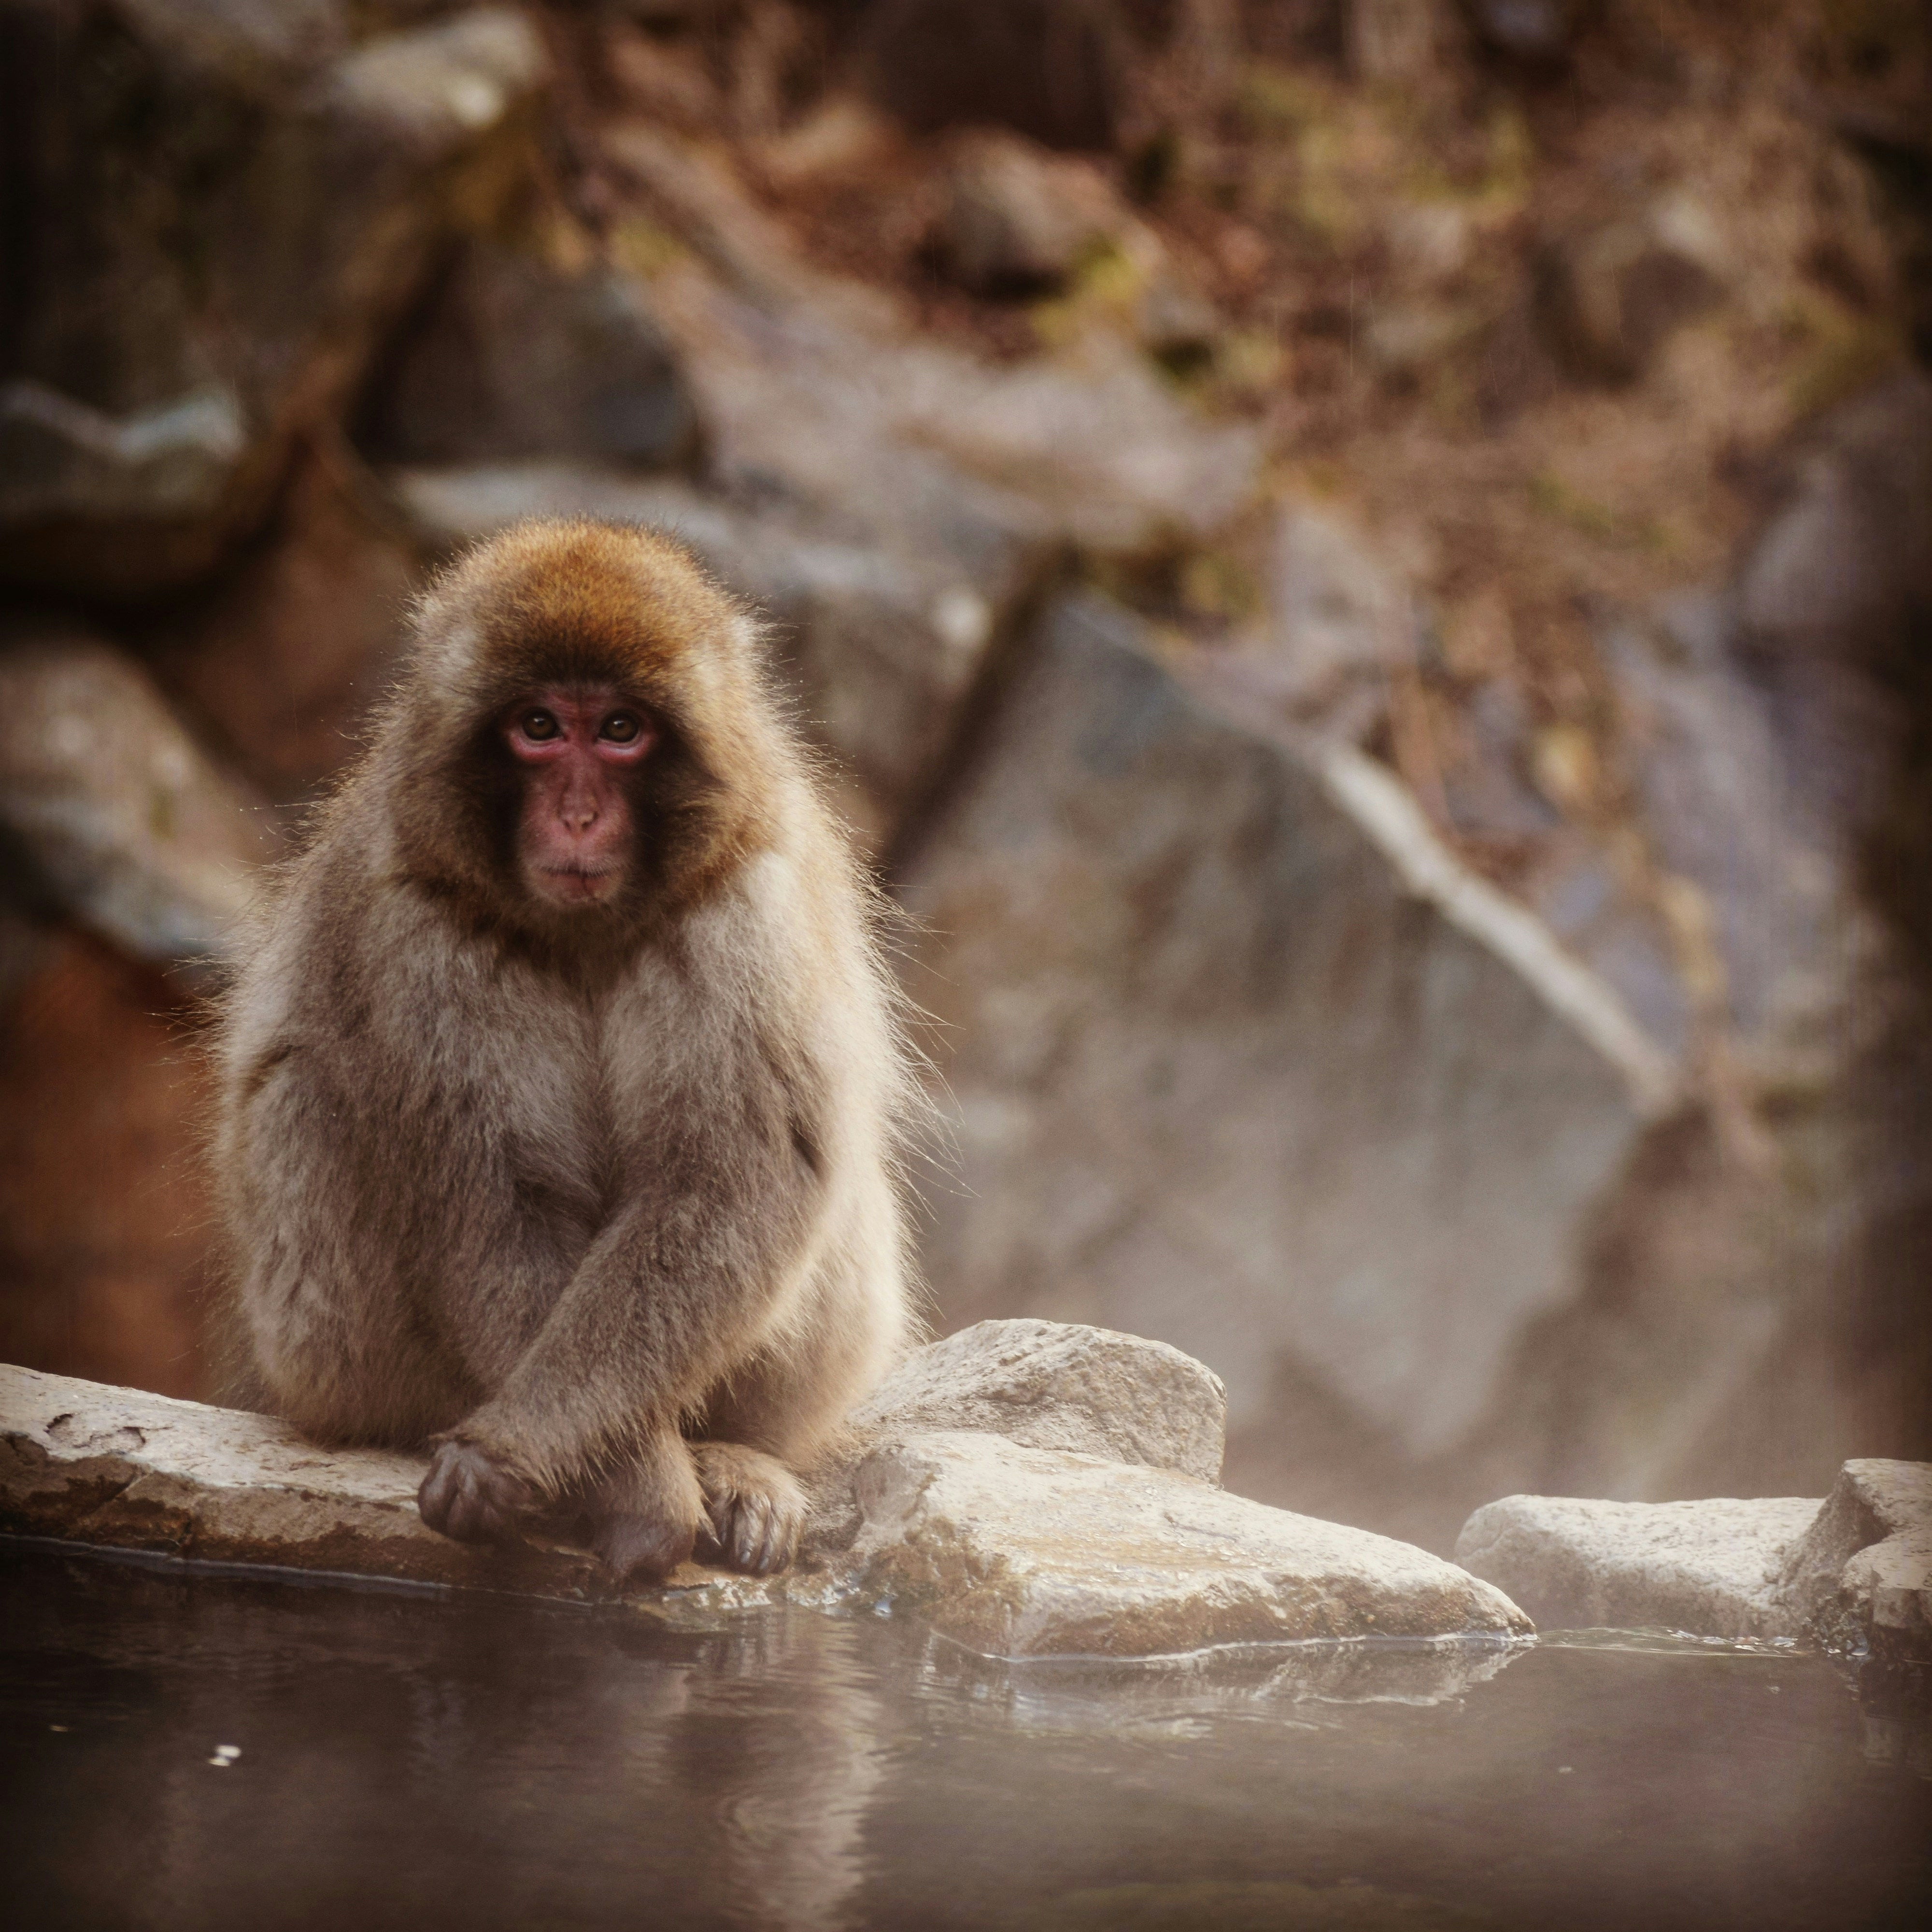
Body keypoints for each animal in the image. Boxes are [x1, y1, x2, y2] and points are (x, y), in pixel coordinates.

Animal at [211, 519, 920, 1582]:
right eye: (539, 727)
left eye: (620, 730)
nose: (579, 816)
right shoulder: (418, 928)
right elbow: (496, 1199)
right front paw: (636, 1493)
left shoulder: (746, 903)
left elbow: (723, 1184)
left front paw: (531, 1458)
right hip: (322, 1354)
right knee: (302, 1095)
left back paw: (735, 1454)